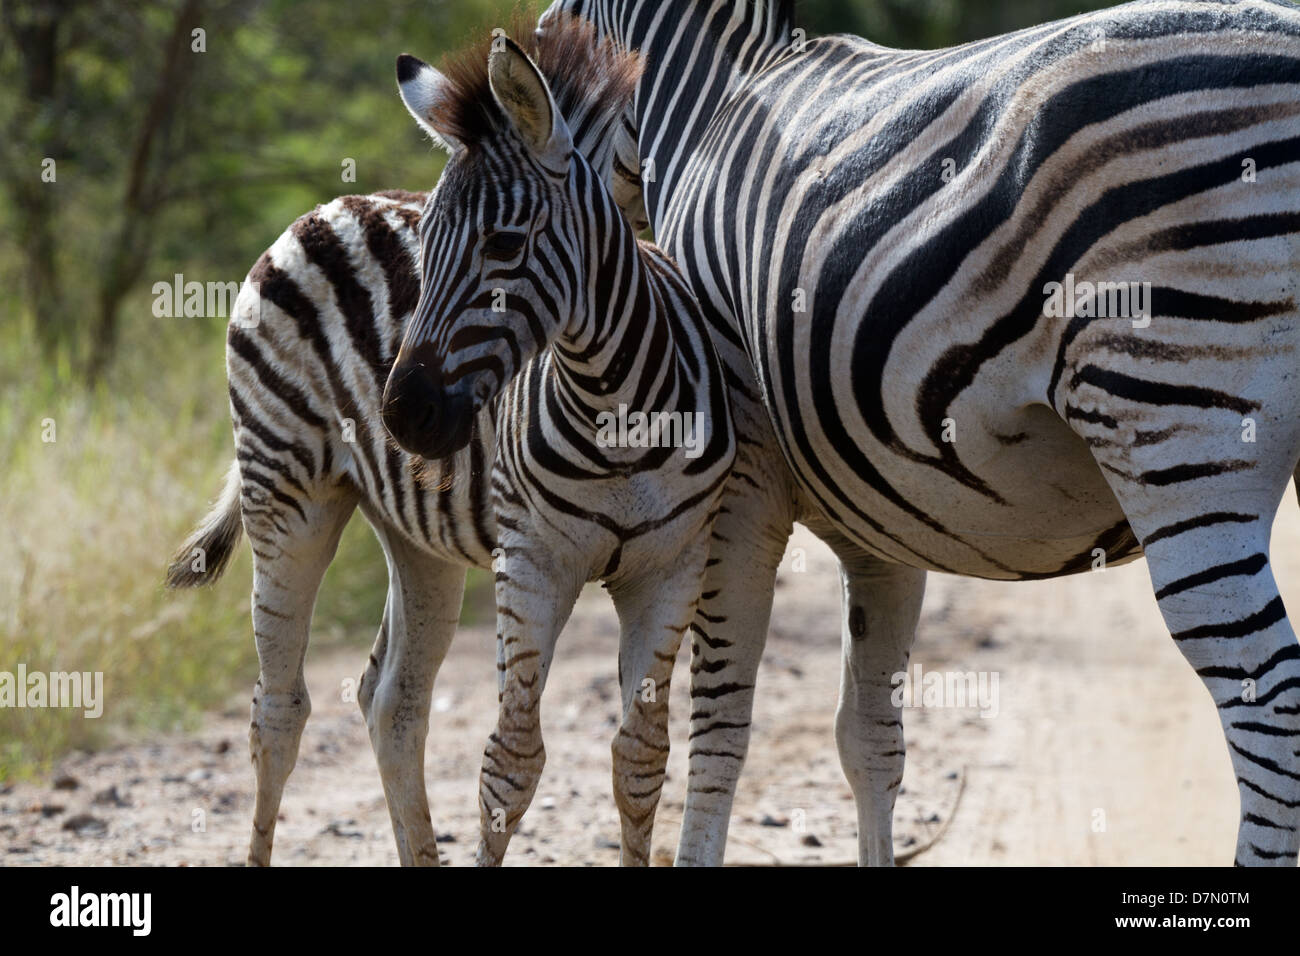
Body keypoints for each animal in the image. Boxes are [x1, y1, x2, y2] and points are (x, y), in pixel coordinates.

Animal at [164, 20, 658, 866]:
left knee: (390, 698)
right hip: (286, 488)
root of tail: (324, 208)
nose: (406, 410)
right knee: (278, 709)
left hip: (414, 527)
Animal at [382, 17, 735, 865]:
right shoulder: (534, 561)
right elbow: (509, 760)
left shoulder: (674, 568)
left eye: (506, 245)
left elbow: (641, 757)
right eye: (426, 242)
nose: (403, 415)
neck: (616, 416)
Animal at [540, 0, 1300, 865]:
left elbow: (721, 721)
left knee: (1268, 707)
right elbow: (868, 737)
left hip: (1174, 420)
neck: (713, 102)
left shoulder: (739, 483)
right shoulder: (883, 520)